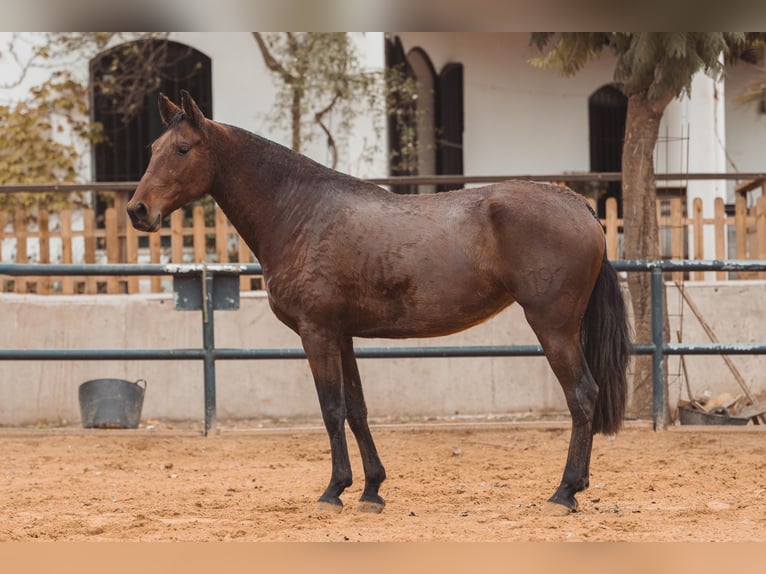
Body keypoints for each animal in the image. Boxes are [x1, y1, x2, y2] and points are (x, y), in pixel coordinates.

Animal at [129, 91, 632, 516]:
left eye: (182, 149)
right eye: (152, 147)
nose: (138, 211)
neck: (298, 211)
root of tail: (581, 207)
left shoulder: (316, 334)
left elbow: (331, 409)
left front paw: (333, 490)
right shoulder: (342, 336)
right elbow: (357, 409)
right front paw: (371, 489)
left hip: (553, 328)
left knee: (582, 396)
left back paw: (564, 492)